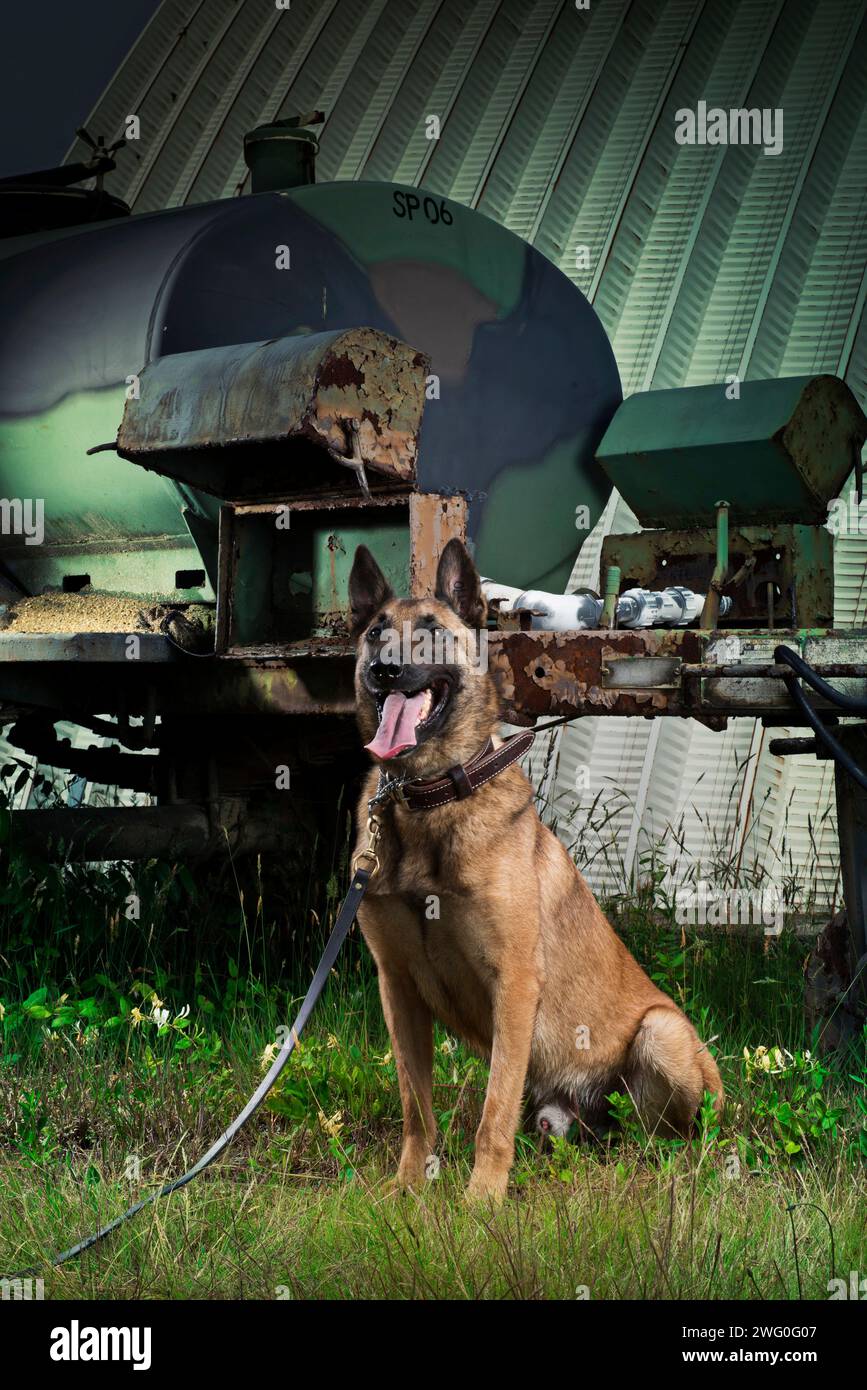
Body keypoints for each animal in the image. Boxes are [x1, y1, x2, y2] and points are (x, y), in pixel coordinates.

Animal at [348, 536, 722, 1200]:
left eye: (432, 633)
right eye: (375, 634)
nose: (384, 670)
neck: (427, 800)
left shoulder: (516, 983)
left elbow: (493, 1112)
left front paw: (481, 1201)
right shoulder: (398, 988)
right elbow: (416, 1107)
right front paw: (408, 1187)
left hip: (662, 1033)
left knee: (665, 1138)